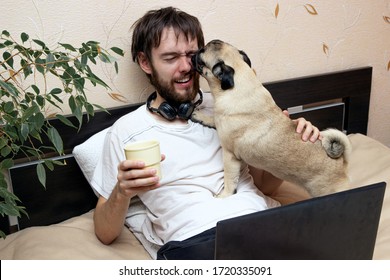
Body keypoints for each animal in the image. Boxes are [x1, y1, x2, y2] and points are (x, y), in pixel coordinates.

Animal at [190, 39, 352, 198]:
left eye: (201, 53)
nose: (193, 54)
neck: (238, 84)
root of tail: (340, 163)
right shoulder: (220, 121)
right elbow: (213, 119)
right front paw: (200, 116)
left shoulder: (230, 155)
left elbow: (229, 180)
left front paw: (224, 196)